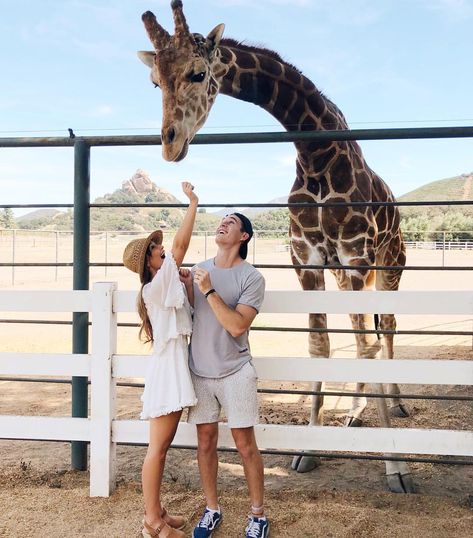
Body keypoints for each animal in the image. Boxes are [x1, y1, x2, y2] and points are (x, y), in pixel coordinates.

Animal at [137, 0, 412, 492]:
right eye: (155, 81)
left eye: (197, 72)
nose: (170, 144)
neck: (315, 155)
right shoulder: (309, 261)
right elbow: (321, 346)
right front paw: (308, 451)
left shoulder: (357, 256)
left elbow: (366, 349)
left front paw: (396, 468)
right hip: (348, 275)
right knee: (367, 332)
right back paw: (355, 415)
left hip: (390, 264)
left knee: (386, 331)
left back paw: (396, 404)